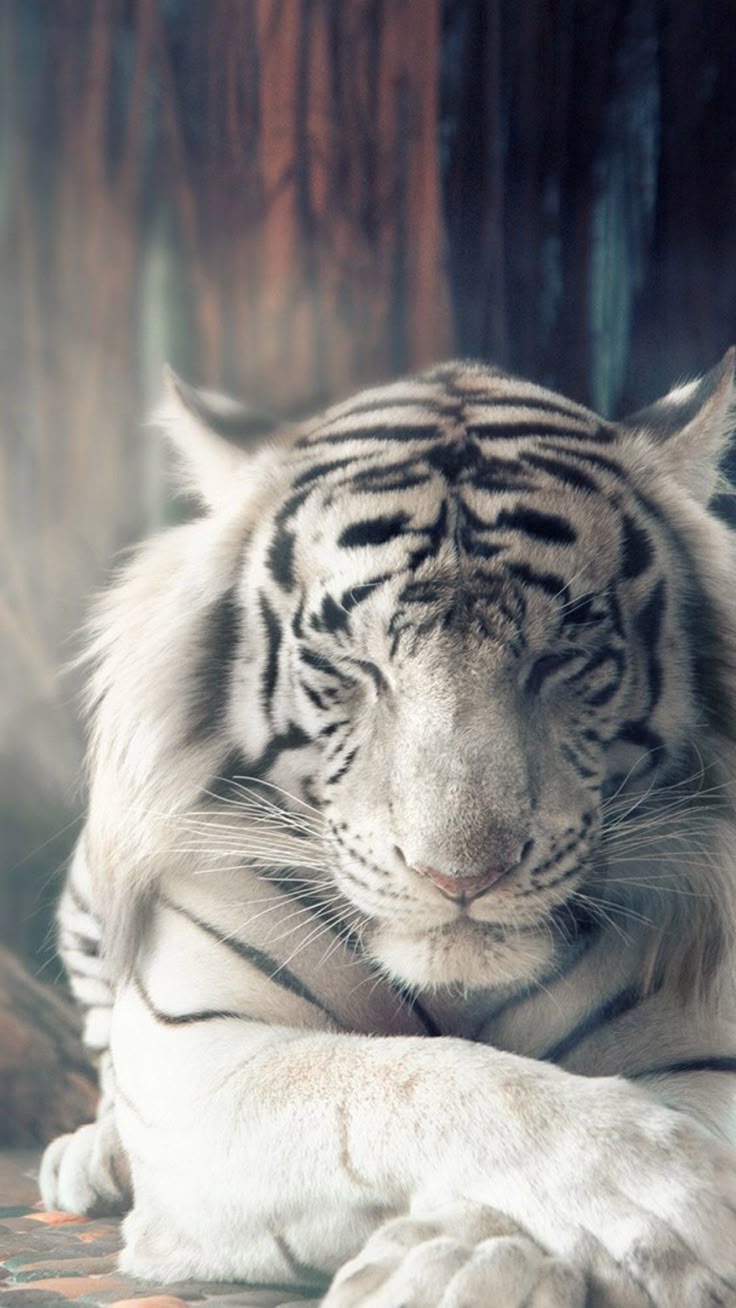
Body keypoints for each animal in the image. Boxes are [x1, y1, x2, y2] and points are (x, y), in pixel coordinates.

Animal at [40, 352, 736, 1308]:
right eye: (353, 665)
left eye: (561, 658)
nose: (461, 878)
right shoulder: (204, 1057)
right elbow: (418, 1080)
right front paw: (667, 1194)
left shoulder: (711, 1049)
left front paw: (451, 1264)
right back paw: (91, 1156)